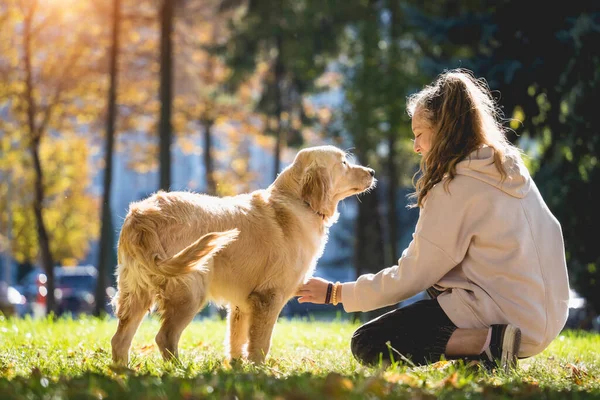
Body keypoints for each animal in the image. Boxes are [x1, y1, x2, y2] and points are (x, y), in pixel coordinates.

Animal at [109, 145, 372, 364]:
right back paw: (179, 371)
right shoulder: (268, 297)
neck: (298, 202)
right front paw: (260, 372)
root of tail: (143, 215)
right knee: (165, 337)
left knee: (120, 340)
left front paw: (238, 369)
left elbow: (237, 343)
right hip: (190, 292)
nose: (371, 171)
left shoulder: (241, 304)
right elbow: (260, 345)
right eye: (344, 162)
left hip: (136, 292)